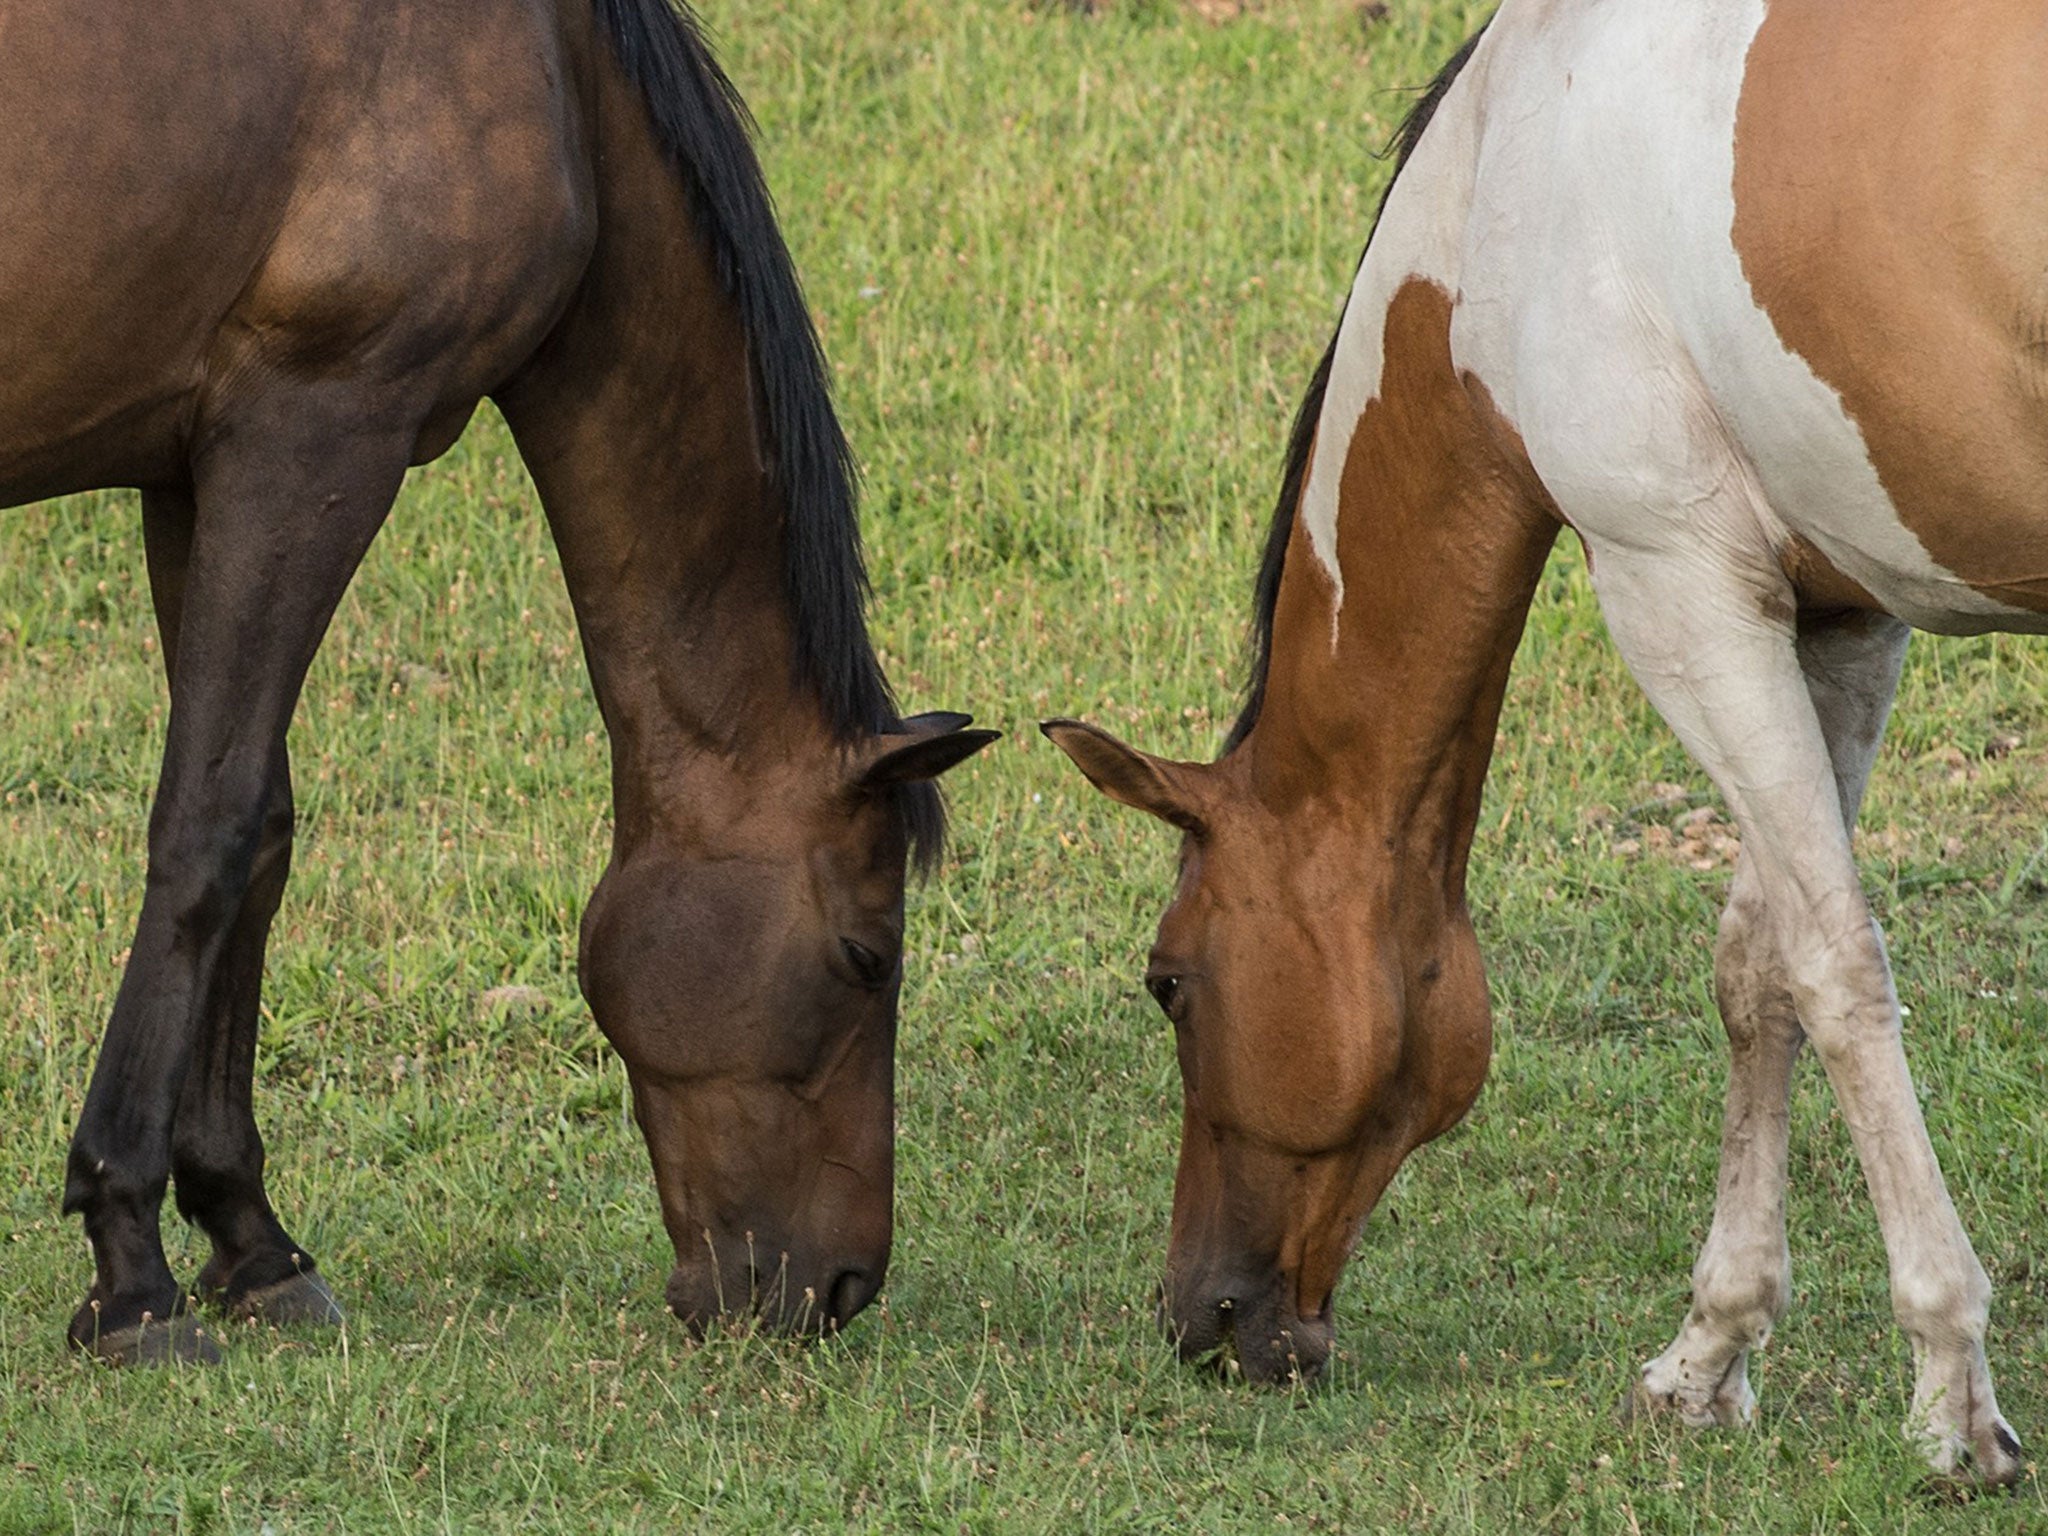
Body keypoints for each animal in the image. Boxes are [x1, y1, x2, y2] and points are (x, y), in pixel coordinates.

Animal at [0, 0, 991, 1368]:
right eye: (865, 958)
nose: (836, 1291)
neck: (556, 75)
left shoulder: (192, 467)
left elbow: (264, 840)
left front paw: (251, 1240)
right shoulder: (317, 433)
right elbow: (212, 832)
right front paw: (130, 1266)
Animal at [1056, 0, 2048, 1490]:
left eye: (1168, 983)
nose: (1198, 1318)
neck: (1503, 181)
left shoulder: (1676, 586)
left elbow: (1832, 970)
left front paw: (1948, 1392)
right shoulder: (1838, 614)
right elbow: (1758, 968)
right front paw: (1707, 1355)